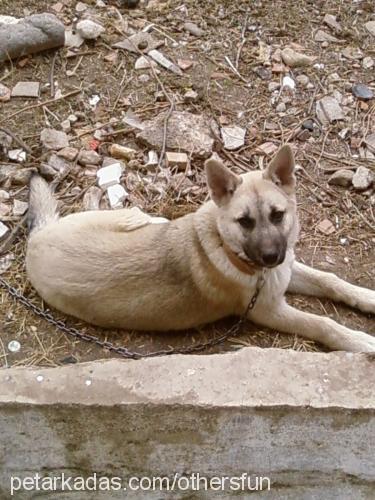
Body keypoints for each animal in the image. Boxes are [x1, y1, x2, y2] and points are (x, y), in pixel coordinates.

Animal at [26, 146, 375, 354]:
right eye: (245, 221)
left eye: (277, 215)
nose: (270, 257)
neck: (228, 246)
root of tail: (35, 241)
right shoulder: (270, 310)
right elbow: (321, 323)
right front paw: (359, 340)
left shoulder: (285, 267)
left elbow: (331, 280)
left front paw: (367, 298)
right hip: (132, 214)